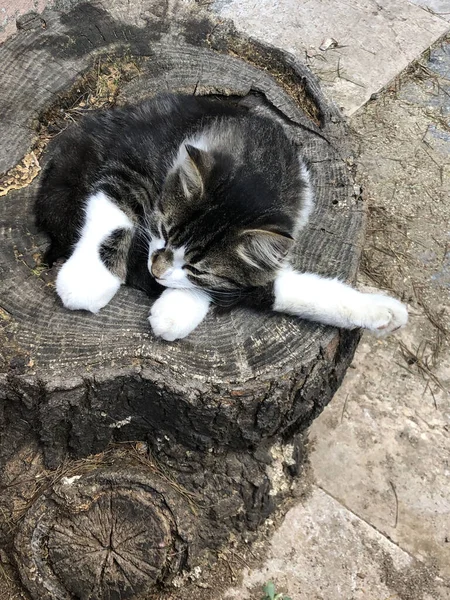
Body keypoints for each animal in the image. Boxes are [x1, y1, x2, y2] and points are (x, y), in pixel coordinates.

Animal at [35, 91, 408, 340]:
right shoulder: (131, 162)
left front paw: (381, 311)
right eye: (163, 231)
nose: (156, 271)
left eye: (197, 267)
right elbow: (114, 211)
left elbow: (257, 286)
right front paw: (88, 278)